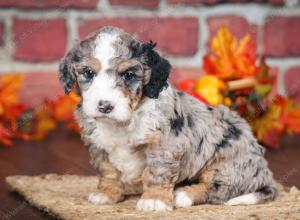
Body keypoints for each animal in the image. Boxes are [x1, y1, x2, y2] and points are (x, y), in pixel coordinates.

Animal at [59, 26, 278, 211]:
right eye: (88, 73)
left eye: (129, 75)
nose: (105, 106)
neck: (122, 123)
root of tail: (265, 173)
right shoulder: (99, 146)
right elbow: (108, 171)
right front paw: (106, 194)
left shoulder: (164, 145)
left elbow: (157, 173)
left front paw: (154, 200)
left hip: (226, 163)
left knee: (218, 188)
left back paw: (183, 195)